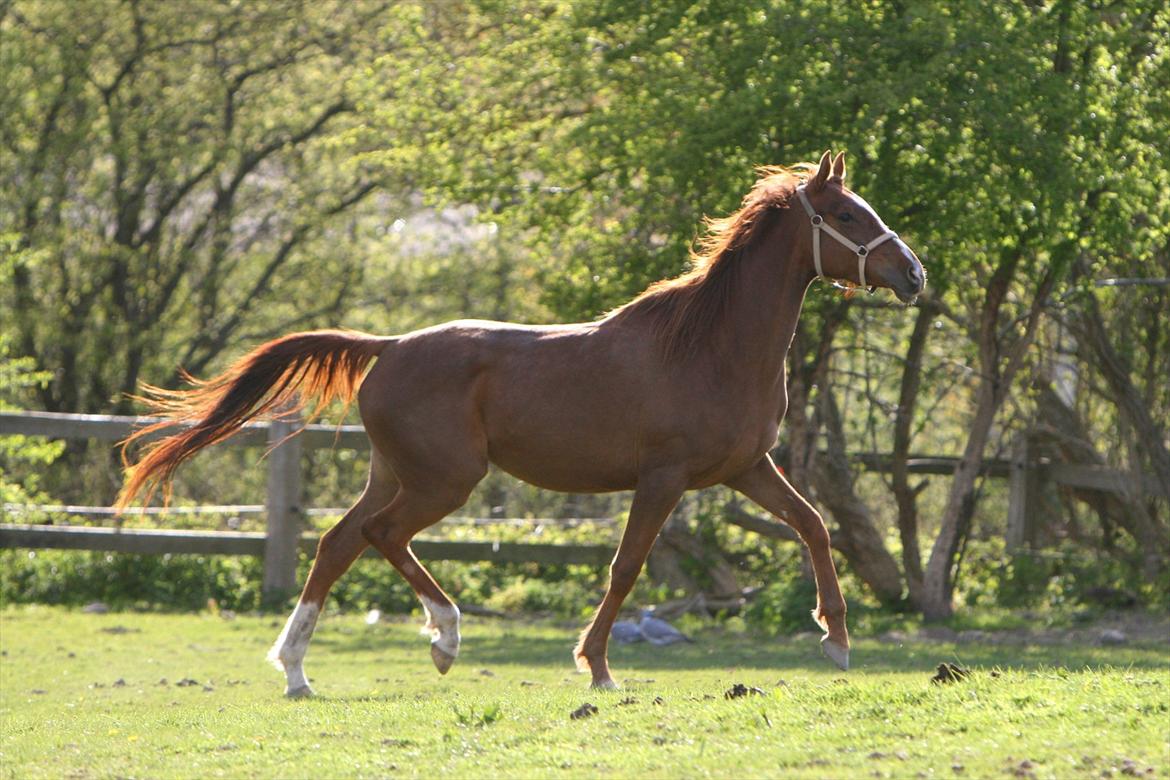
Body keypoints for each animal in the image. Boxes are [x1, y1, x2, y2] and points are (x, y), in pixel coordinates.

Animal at [118, 150, 921, 696]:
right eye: (848, 216)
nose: (914, 275)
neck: (711, 345)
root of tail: (390, 347)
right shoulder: (664, 478)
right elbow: (626, 567)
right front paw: (596, 667)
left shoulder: (746, 469)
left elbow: (814, 525)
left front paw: (837, 642)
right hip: (444, 481)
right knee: (380, 535)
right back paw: (443, 638)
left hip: (396, 474)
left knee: (339, 541)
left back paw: (297, 671)